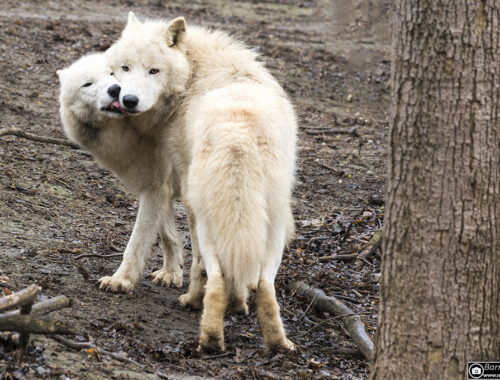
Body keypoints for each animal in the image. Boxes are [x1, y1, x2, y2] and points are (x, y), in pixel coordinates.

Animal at [56, 52, 186, 290]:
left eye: (111, 73)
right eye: (88, 84)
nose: (115, 89)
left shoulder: (157, 188)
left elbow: (136, 241)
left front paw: (120, 280)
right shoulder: (159, 186)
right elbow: (168, 234)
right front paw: (173, 273)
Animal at [102, 13, 296, 352]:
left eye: (154, 71)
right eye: (125, 68)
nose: (129, 100)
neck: (193, 73)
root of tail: (238, 135)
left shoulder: (181, 181)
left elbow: (173, 244)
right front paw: (237, 303)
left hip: (207, 218)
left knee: (211, 270)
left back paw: (204, 322)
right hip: (272, 228)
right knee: (263, 283)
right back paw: (278, 343)